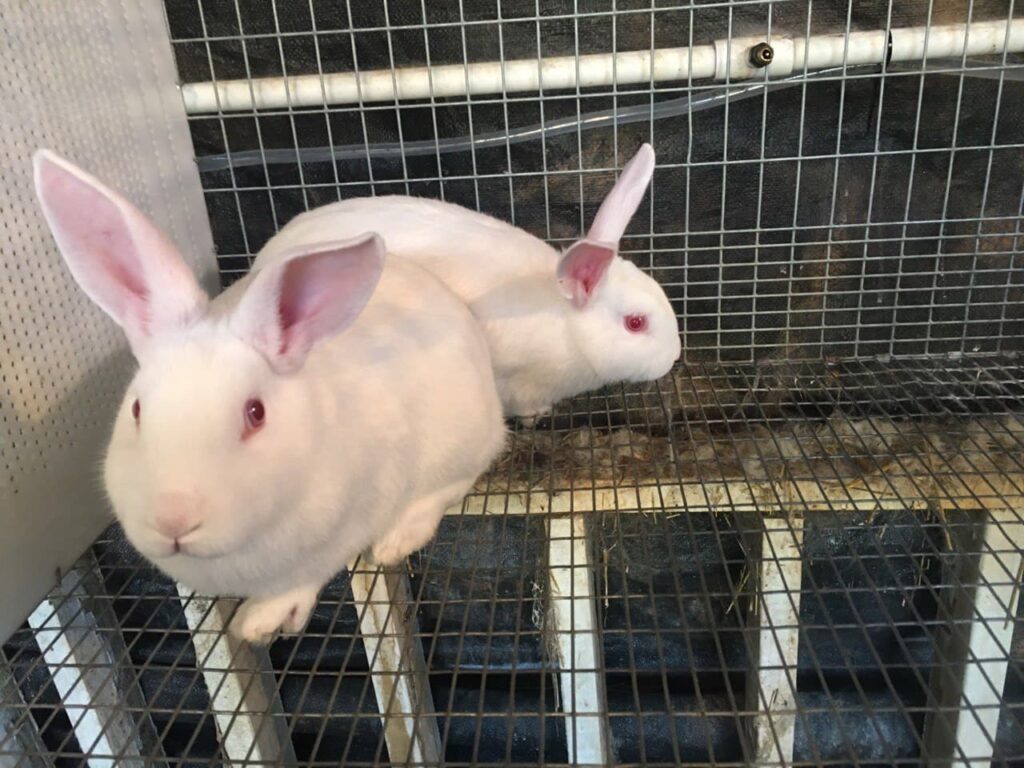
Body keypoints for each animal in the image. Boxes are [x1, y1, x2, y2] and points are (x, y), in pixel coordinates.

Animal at [33, 150, 507, 644]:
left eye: (255, 413)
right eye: (137, 409)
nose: (173, 521)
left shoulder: (346, 525)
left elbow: (302, 578)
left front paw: (259, 623)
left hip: (457, 442)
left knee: (450, 483)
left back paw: (396, 541)